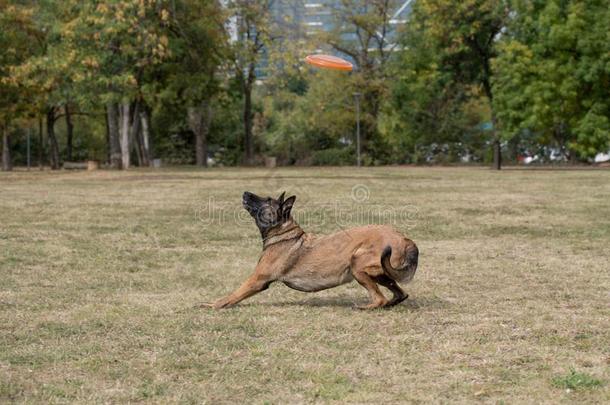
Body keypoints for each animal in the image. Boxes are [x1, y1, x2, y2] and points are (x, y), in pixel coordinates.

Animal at [205, 191, 418, 308]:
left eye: (266, 200)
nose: (245, 193)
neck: (283, 232)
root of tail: (404, 239)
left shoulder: (257, 280)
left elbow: (233, 295)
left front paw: (213, 304)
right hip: (381, 273)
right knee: (400, 295)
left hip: (357, 264)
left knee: (380, 298)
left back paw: (366, 307)